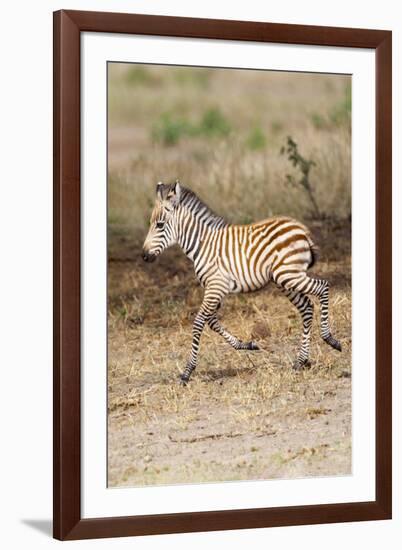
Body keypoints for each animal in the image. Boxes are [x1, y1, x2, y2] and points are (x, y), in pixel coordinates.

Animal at [143, 181, 340, 384]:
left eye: (159, 225)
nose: (144, 256)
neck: (202, 244)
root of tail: (301, 229)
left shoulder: (216, 287)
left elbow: (199, 322)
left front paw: (187, 372)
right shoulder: (215, 289)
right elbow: (212, 322)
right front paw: (246, 345)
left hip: (289, 275)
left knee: (323, 287)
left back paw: (330, 339)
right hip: (285, 279)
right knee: (306, 307)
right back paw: (301, 361)